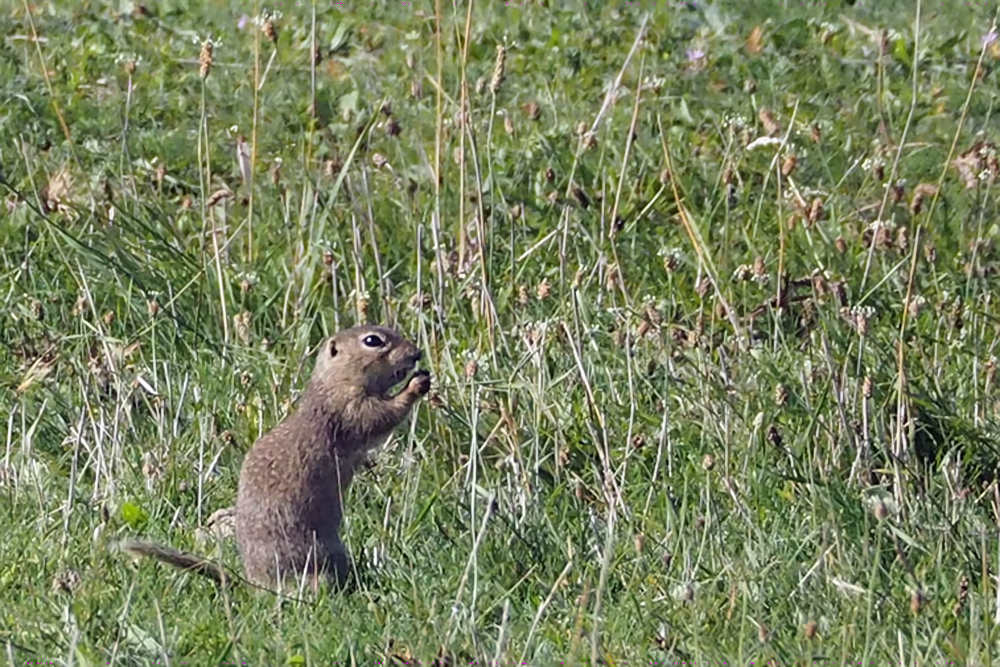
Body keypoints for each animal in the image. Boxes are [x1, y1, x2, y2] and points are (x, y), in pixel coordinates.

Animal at [118, 326, 430, 592]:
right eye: (373, 340)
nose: (417, 354)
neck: (333, 380)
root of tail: (255, 586)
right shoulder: (349, 407)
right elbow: (379, 417)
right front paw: (416, 385)